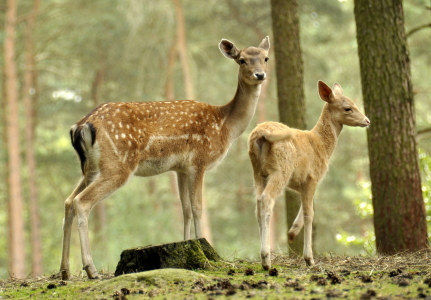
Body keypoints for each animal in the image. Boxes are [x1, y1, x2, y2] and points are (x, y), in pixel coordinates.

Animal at [60, 37, 270, 278]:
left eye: (266, 58)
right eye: (242, 60)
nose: (260, 75)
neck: (225, 126)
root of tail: (81, 126)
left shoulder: (180, 168)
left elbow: (185, 209)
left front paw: (188, 245)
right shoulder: (199, 161)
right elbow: (197, 207)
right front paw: (204, 245)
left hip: (90, 168)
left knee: (68, 201)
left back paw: (65, 271)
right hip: (117, 164)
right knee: (81, 202)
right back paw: (91, 269)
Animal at [250, 80, 372, 270]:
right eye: (347, 108)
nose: (367, 120)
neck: (322, 145)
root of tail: (262, 134)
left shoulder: (301, 183)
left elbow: (307, 208)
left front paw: (292, 233)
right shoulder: (313, 177)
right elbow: (310, 214)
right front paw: (309, 258)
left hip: (257, 171)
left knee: (257, 203)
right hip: (280, 169)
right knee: (266, 199)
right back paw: (266, 259)